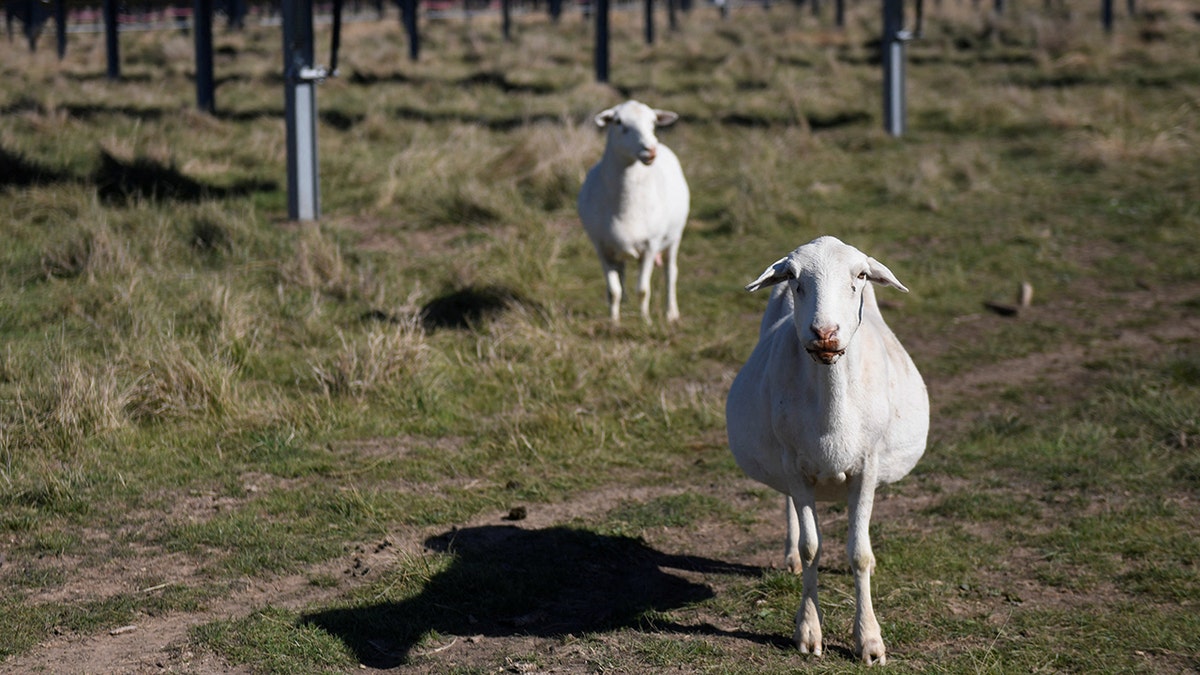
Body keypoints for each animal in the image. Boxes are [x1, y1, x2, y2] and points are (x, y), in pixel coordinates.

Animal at [577, 100, 690, 323]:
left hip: (675, 236)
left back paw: (671, 313)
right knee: (621, 275)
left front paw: (645, 321)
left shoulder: (650, 246)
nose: (650, 149)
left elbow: (643, 290)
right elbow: (613, 290)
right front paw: (614, 322)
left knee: (671, 272)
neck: (626, 207)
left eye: (653, 122)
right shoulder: (601, 247)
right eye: (618, 122)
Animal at [725, 236, 929, 666]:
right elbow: (810, 548)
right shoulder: (795, 466)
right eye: (794, 277)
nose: (825, 332)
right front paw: (808, 632)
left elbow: (858, 553)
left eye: (862, 276)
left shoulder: (867, 466)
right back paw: (787, 558)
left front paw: (869, 641)